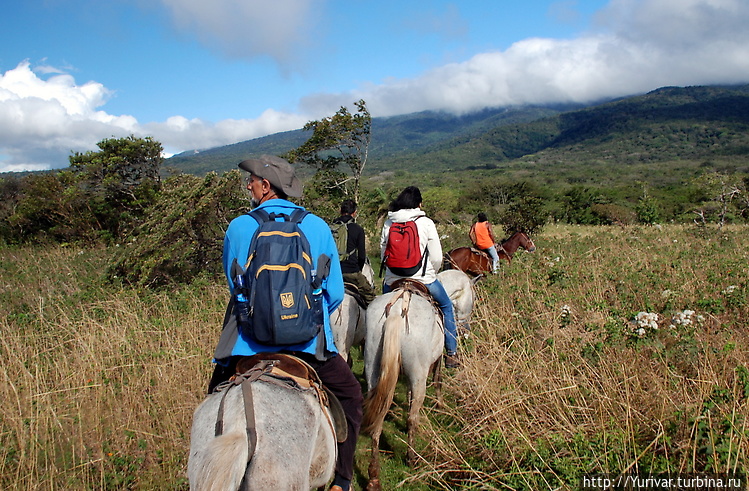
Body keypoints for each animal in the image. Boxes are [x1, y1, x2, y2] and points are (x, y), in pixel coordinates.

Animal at [360, 270, 474, 491]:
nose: (465, 330)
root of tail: (397, 310)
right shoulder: (434, 362)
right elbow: (438, 381)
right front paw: (439, 405)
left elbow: (409, 395)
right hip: (419, 374)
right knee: (412, 418)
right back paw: (412, 458)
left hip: (373, 372)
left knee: (377, 420)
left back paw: (373, 477)